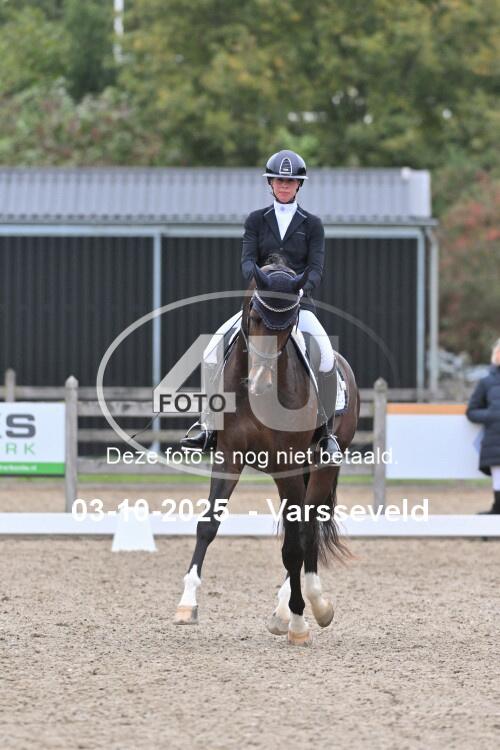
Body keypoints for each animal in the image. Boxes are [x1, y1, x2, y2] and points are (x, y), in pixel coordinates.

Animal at [174, 257, 359, 645]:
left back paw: (311, 606)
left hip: (322, 466)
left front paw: (300, 622)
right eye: (255, 316)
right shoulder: (228, 457)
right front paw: (187, 604)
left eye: (289, 324)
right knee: (301, 530)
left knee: (306, 529)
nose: (261, 383)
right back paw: (284, 611)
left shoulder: (286, 464)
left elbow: (294, 543)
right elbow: (207, 526)